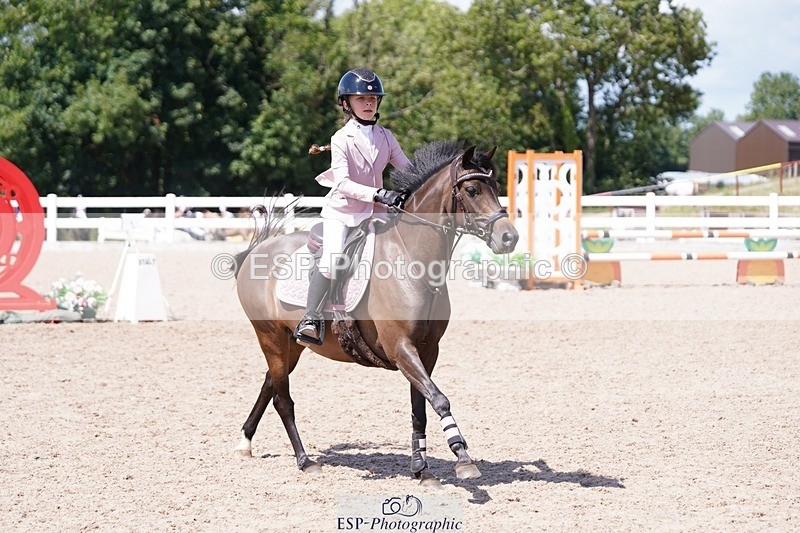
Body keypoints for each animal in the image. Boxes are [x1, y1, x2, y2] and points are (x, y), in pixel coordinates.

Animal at [231, 141, 519, 485]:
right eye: (473, 190)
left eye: (497, 188)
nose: (509, 237)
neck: (413, 260)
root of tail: (258, 251)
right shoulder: (401, 348)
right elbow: (438, 399)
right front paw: (462, 457)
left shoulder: (427, 351)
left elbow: (419, 409)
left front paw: (422, 469)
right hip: (270, 336)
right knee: (282, 399)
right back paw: (305, 461)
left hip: (292, 343)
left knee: (269, 384)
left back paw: (244, 443)